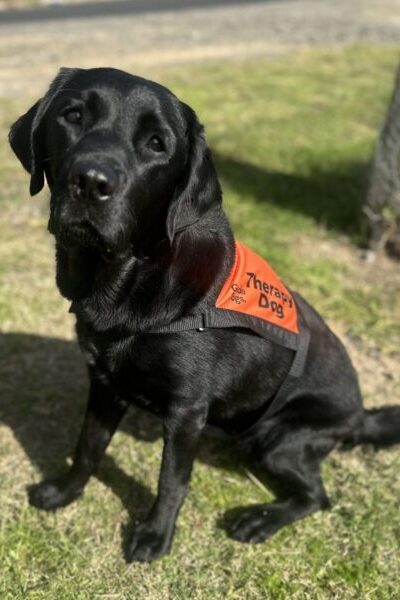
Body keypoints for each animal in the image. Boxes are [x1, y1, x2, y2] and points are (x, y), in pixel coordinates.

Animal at [8, 69, 400, 564]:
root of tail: (361, 414)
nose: (91, 181)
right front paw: (63, 492)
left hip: (278, 440)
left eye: (157, 144)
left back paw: (258, 519)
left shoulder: (186, 411)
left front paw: (155, 536)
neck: (128, 282)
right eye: (73, 116)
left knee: (318, 496)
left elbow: (171, 481)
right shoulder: (104, 384)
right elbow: (87, 448)